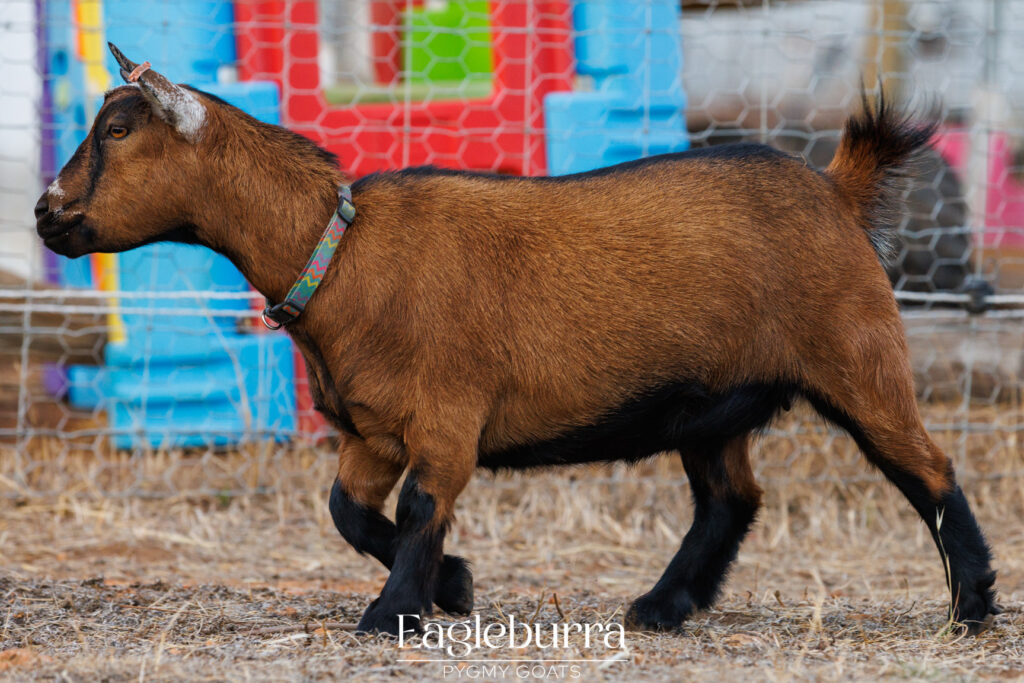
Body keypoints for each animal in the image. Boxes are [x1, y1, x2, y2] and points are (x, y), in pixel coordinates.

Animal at [35, 44, 998, 636]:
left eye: (117, 129)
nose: (46, 214)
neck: (340, 250)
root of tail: (837, 188)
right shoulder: (372, 432)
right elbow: (349, 510)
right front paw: (453, 586)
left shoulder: (447, 418)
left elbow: (421, 508)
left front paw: (392, 614)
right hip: (714, 403)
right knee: (732, 497)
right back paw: (661, 605)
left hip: (858, 354)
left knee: (930, 470)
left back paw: (973, 605)